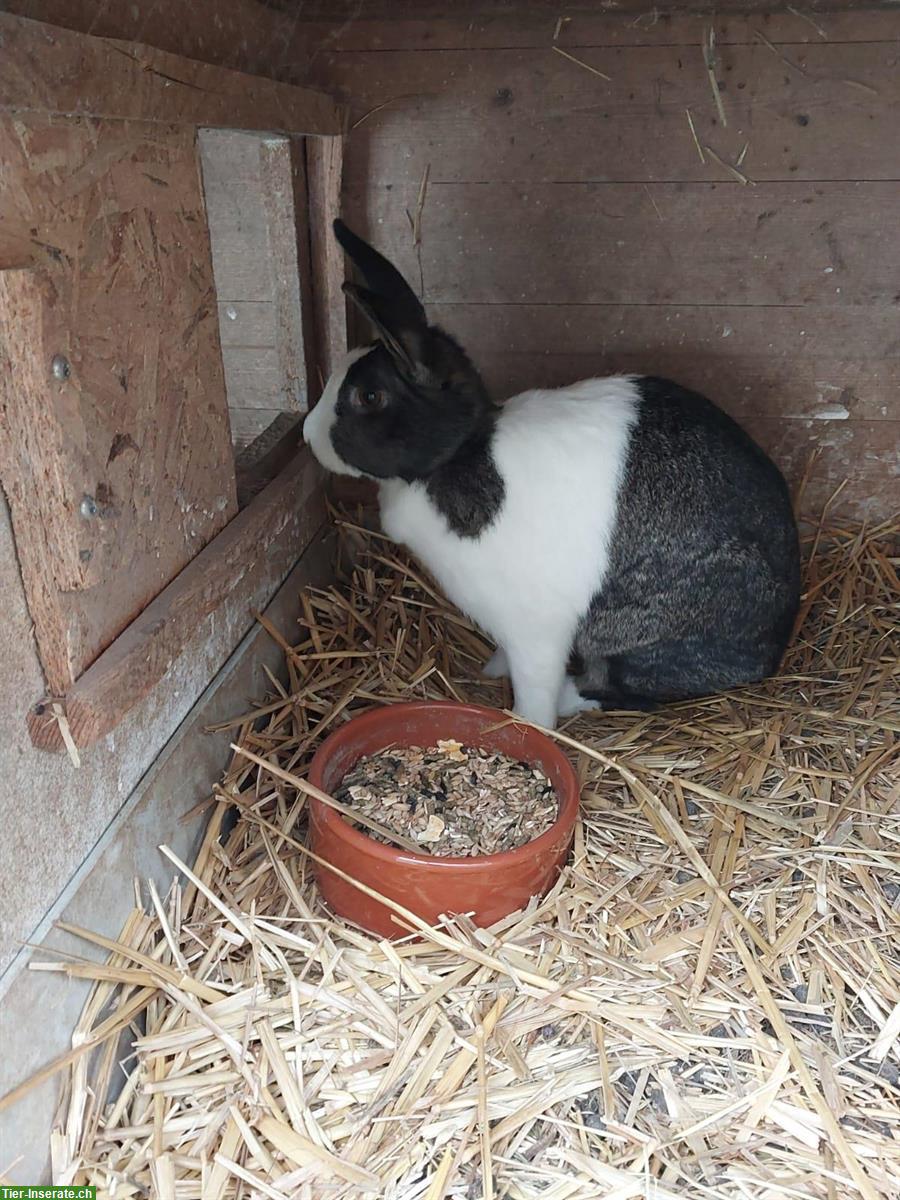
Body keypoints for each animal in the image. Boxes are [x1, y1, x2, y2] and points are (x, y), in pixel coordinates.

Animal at [303, 220, 801, 730]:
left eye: (369, 397)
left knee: (613, 687)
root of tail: (772, 647)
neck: (461, 454)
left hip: (637, 636)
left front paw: (526, 723)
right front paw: (492, 669)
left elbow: (534, 687)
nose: (306, 435)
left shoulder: (535, 631)